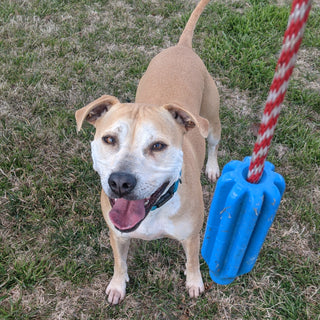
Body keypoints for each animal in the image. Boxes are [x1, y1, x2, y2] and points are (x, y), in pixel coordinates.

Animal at [75, 0, 220, 304]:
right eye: (109, 139)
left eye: (158, 146)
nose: (120, 182)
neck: (154, 208)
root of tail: (182, 47)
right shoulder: (117, 234)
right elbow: (120, 262)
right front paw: (118, 285)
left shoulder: (191, 236)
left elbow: (192, 261)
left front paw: (194, 283)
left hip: (212, 120)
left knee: (213, 143)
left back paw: (212, 167)